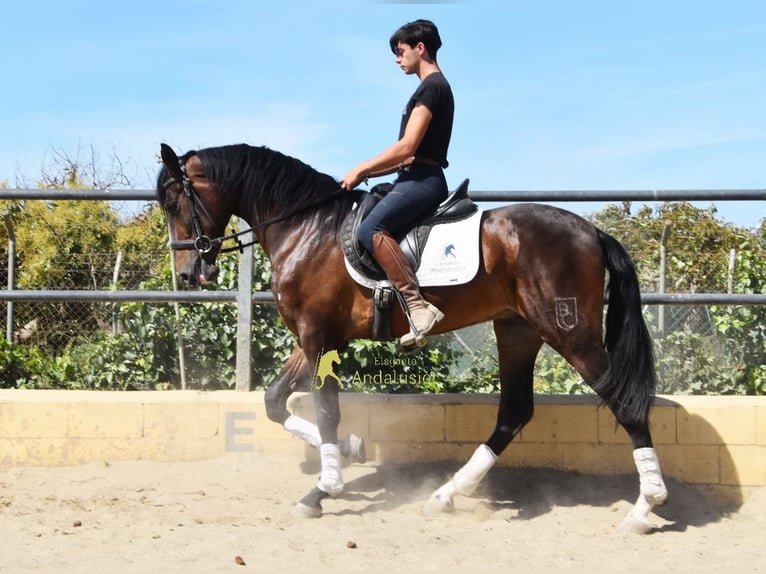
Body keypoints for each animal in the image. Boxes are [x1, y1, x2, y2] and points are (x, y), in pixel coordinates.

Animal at [156, 142, 668, 534]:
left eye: (174, 203)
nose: (189, 270)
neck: (307, 229)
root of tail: (592, 231)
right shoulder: (315, 337)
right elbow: (274, 401)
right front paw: (350, 450)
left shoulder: (318, 336)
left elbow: (325, 412)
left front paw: (323, 489)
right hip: (518, 330)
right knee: (514, 412)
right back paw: (446, 495)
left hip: (569, 332)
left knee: (625, 405)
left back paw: (645, 508)